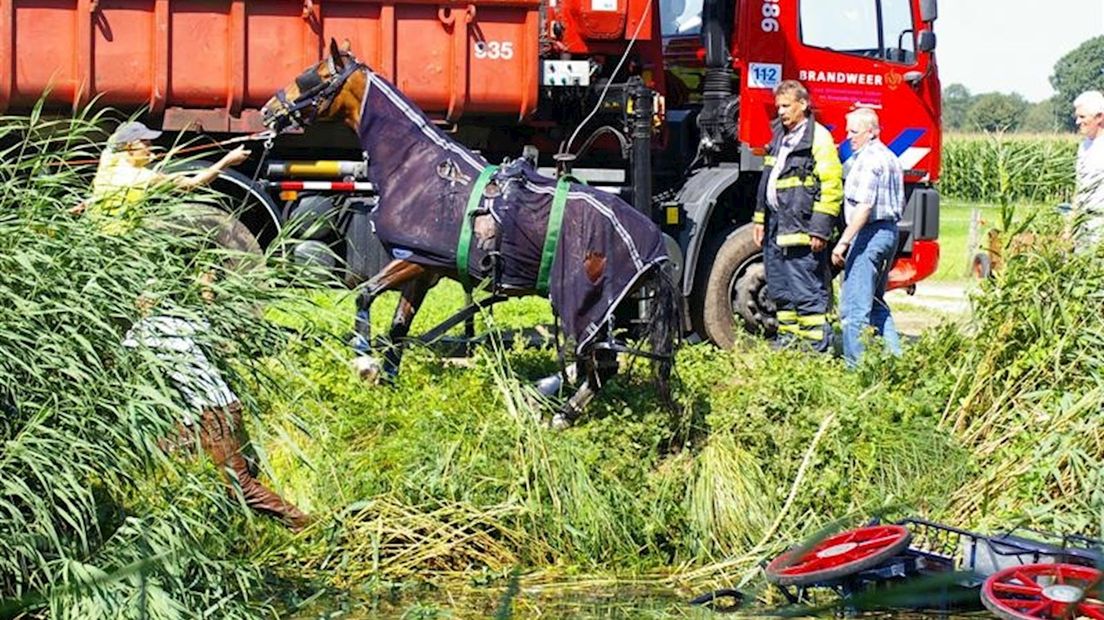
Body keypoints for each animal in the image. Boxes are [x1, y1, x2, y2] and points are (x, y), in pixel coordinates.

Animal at [261, 38, 675, 423]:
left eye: (313, 75)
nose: (269, 110)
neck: (417, 166)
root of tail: (653, 243)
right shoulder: (424, 268)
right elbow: (398, 326)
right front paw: (388, 379)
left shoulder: (415, 260)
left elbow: (365, 294)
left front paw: (365, 362)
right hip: (600, 310)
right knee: (597, 362)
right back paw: (546, 396)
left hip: (583, 305)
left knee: (601, 364)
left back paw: (558, 413)